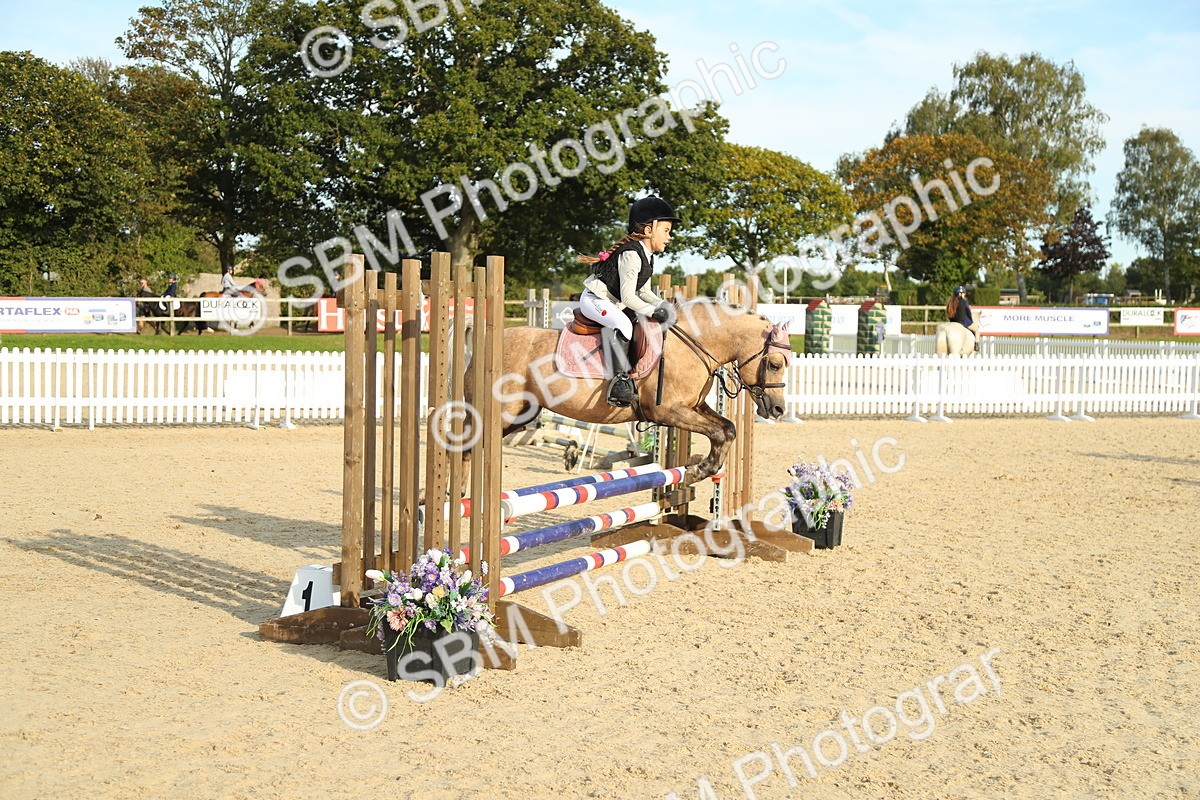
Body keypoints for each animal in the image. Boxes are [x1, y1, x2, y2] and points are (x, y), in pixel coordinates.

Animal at [467, 298, 792, 487]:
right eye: (775, 364)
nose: (778, 409)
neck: (694, 343)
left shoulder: (693, 407)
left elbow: (728, 430)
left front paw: (698, 469)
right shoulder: (670, 411)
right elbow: (719, 433)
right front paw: (696, 472)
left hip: (521, 415)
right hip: (499, 414)